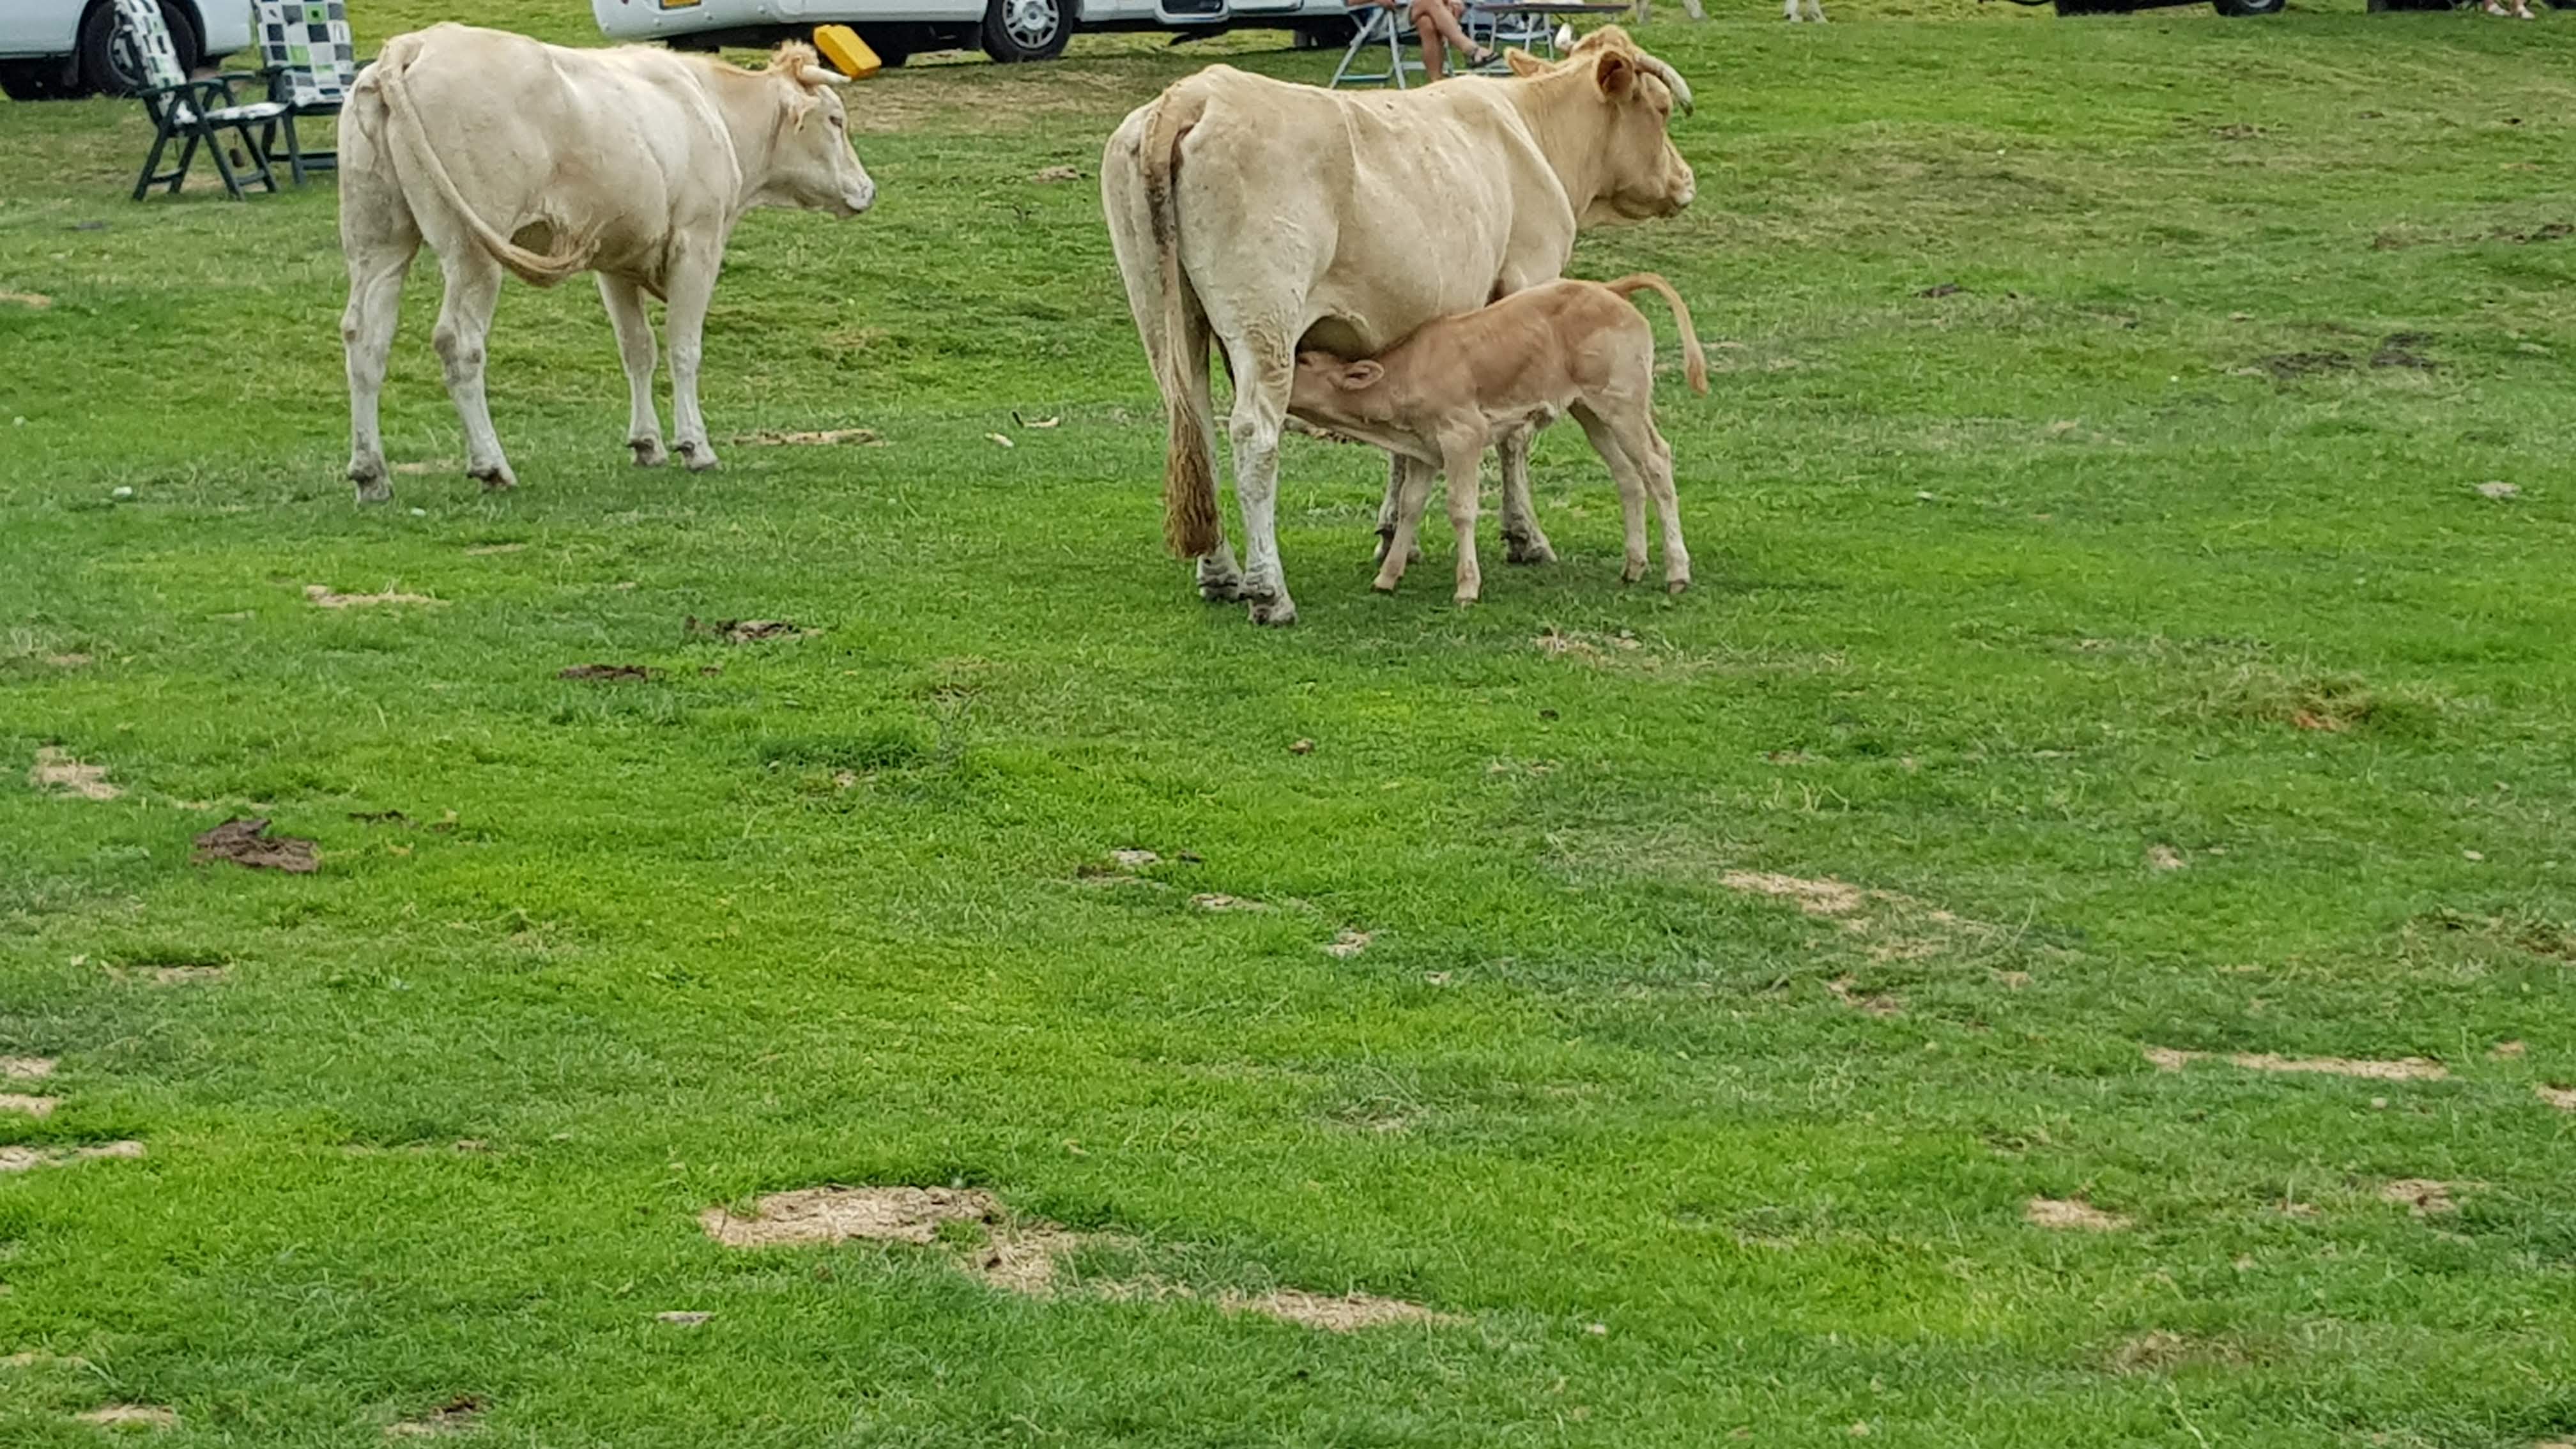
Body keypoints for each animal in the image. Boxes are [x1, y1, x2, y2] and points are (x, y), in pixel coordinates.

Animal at [338, 26, 876, 504]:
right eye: (836, 120)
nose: (867, 189)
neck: (710, 110)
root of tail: (414, 44)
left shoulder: (616, 260)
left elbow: (637, 349)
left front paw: (647, 443)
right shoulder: (697, 244)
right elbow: (684, 347)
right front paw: (695, 446)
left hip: (378, 242)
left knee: (365, 339)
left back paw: (371, 473)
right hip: (473, 249)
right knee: (459, 343)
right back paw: (491, 466)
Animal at [1289, 274, 1708, 604]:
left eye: (1306, 361)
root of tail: (1607, 288)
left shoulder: (1463, 435)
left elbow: (1461, 509)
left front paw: (1466, 587)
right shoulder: (1425, 448)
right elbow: (1410, 507)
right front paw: (1387, 577)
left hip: (1624, 402)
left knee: (1656, 463)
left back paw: (1677, 572)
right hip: (1592, 411)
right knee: (1628, 475)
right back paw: (1634, 565)